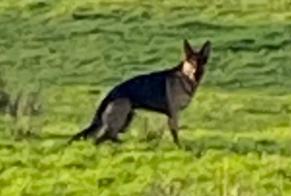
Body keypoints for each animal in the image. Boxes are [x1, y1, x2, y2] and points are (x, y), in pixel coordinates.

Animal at [70, 39, 212, 146]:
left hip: (127, 120)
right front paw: (179, 148)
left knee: (109, 136)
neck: (184, 77)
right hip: (121, 118)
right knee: (102, 138)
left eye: (202, 62)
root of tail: (110, 94)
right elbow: (175, 134)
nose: (197, 74)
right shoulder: (174, 114)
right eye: (192, 62)